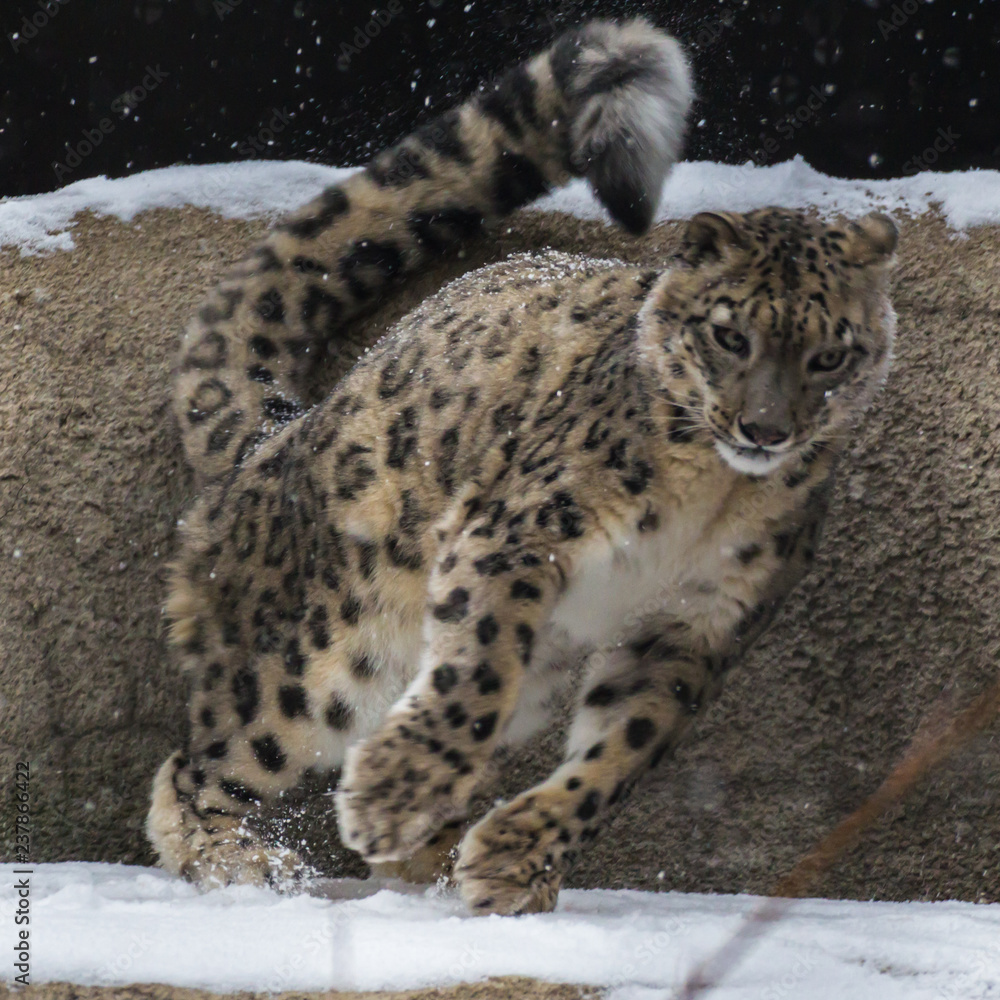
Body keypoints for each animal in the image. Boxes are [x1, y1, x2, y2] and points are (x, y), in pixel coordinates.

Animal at [146, 17, 898, 916]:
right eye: (731, 335)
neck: (710, 500)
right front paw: (395, 792)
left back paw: (433, 854)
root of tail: (280, 430)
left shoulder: (697, 624)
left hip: (530, 678)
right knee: (202, 764)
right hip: (323, 656)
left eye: (829, 355)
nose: (765, 428)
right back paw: (253, 864)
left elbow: (619, 754)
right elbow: (477, 670)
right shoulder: (522, 529)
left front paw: (514, 861)